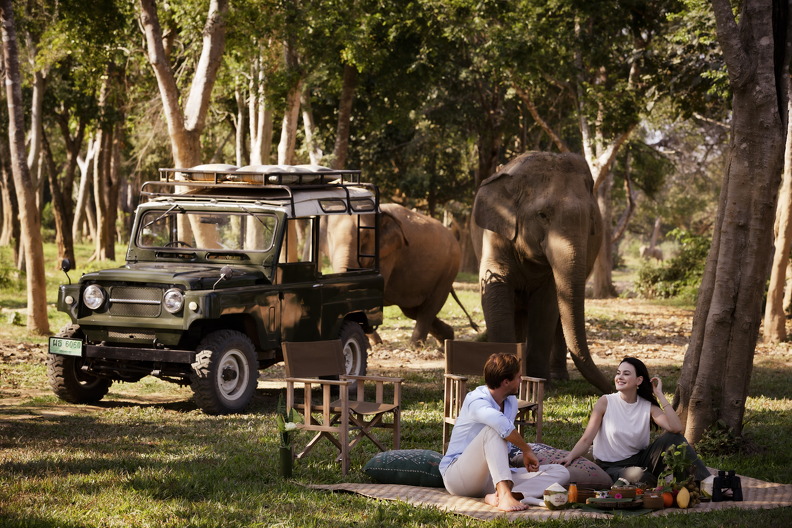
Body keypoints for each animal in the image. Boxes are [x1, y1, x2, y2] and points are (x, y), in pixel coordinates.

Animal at [326, 203, 477, 346]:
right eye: (329, 236)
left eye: (366, 235)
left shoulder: (390, 253)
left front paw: (372, 343)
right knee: (412, 310)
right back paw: (446, 339)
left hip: (448, 271)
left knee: (429, 308)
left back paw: (415, 346)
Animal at [472, 151, 611, 393]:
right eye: (542, 215)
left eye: (591, 217)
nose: (614, 385)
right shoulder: (496, 233)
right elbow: (495, 289)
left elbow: (547, 303)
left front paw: (538, 385)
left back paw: (557, 378)